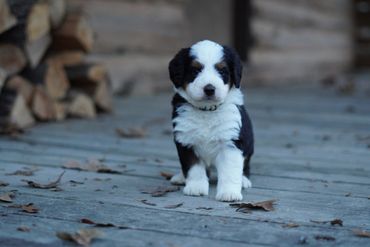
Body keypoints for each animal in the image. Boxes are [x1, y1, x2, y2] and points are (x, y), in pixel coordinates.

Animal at [168, 40, 253, 201]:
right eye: (195, 71)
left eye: (222, 71)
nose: (209, 89)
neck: (207, 111)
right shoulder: (186, 140)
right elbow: (193, 168)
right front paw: (195, 187)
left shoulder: (231, 142)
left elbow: (230, 170)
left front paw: (229, 193)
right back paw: (181, 177)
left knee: (245, 165)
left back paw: (244, 180)